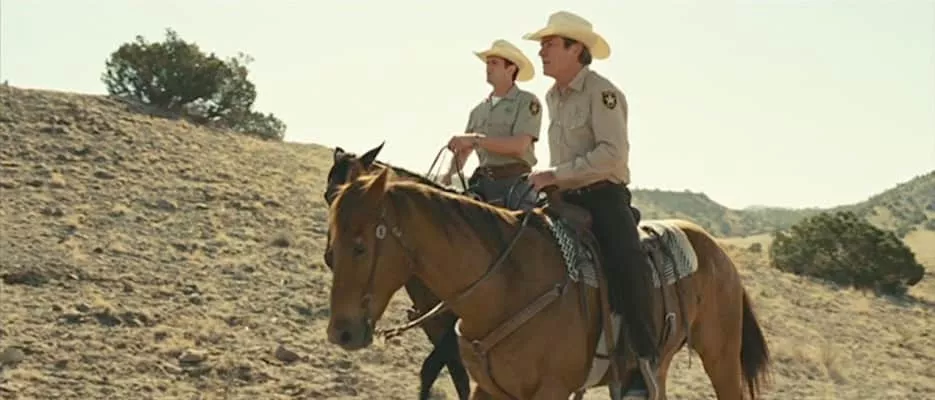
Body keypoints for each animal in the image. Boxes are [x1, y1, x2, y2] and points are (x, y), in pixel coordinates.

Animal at [324, 167, 771, 400]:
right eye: (331, 247)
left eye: (361, 247)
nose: (341, 333)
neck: (505, 286)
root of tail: (718, 253)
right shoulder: (491, 389)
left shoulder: (550, 391)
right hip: (655, 366)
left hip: (720, 357)